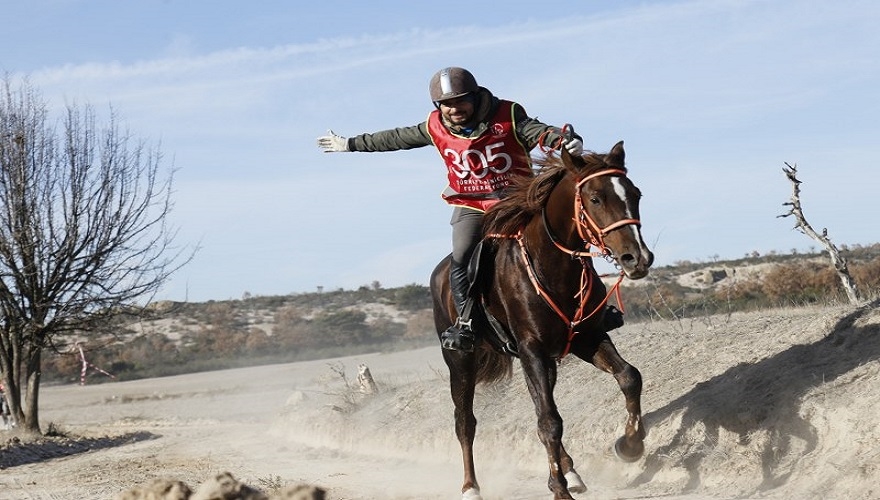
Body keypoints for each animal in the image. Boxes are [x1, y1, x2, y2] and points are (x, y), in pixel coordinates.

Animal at [432, 142, 652, 500]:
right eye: (595, 199)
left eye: (635, 194)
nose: (638, 259)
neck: (553, 265)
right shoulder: (531, 349)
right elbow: (549, 422)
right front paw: (559, 491)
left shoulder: (586, 338)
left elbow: (629, 377)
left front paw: (630, 445)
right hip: (461, 362)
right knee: (465, 421)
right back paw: (471, 487)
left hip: (546, 360)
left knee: (540, 405)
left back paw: (571, 471)